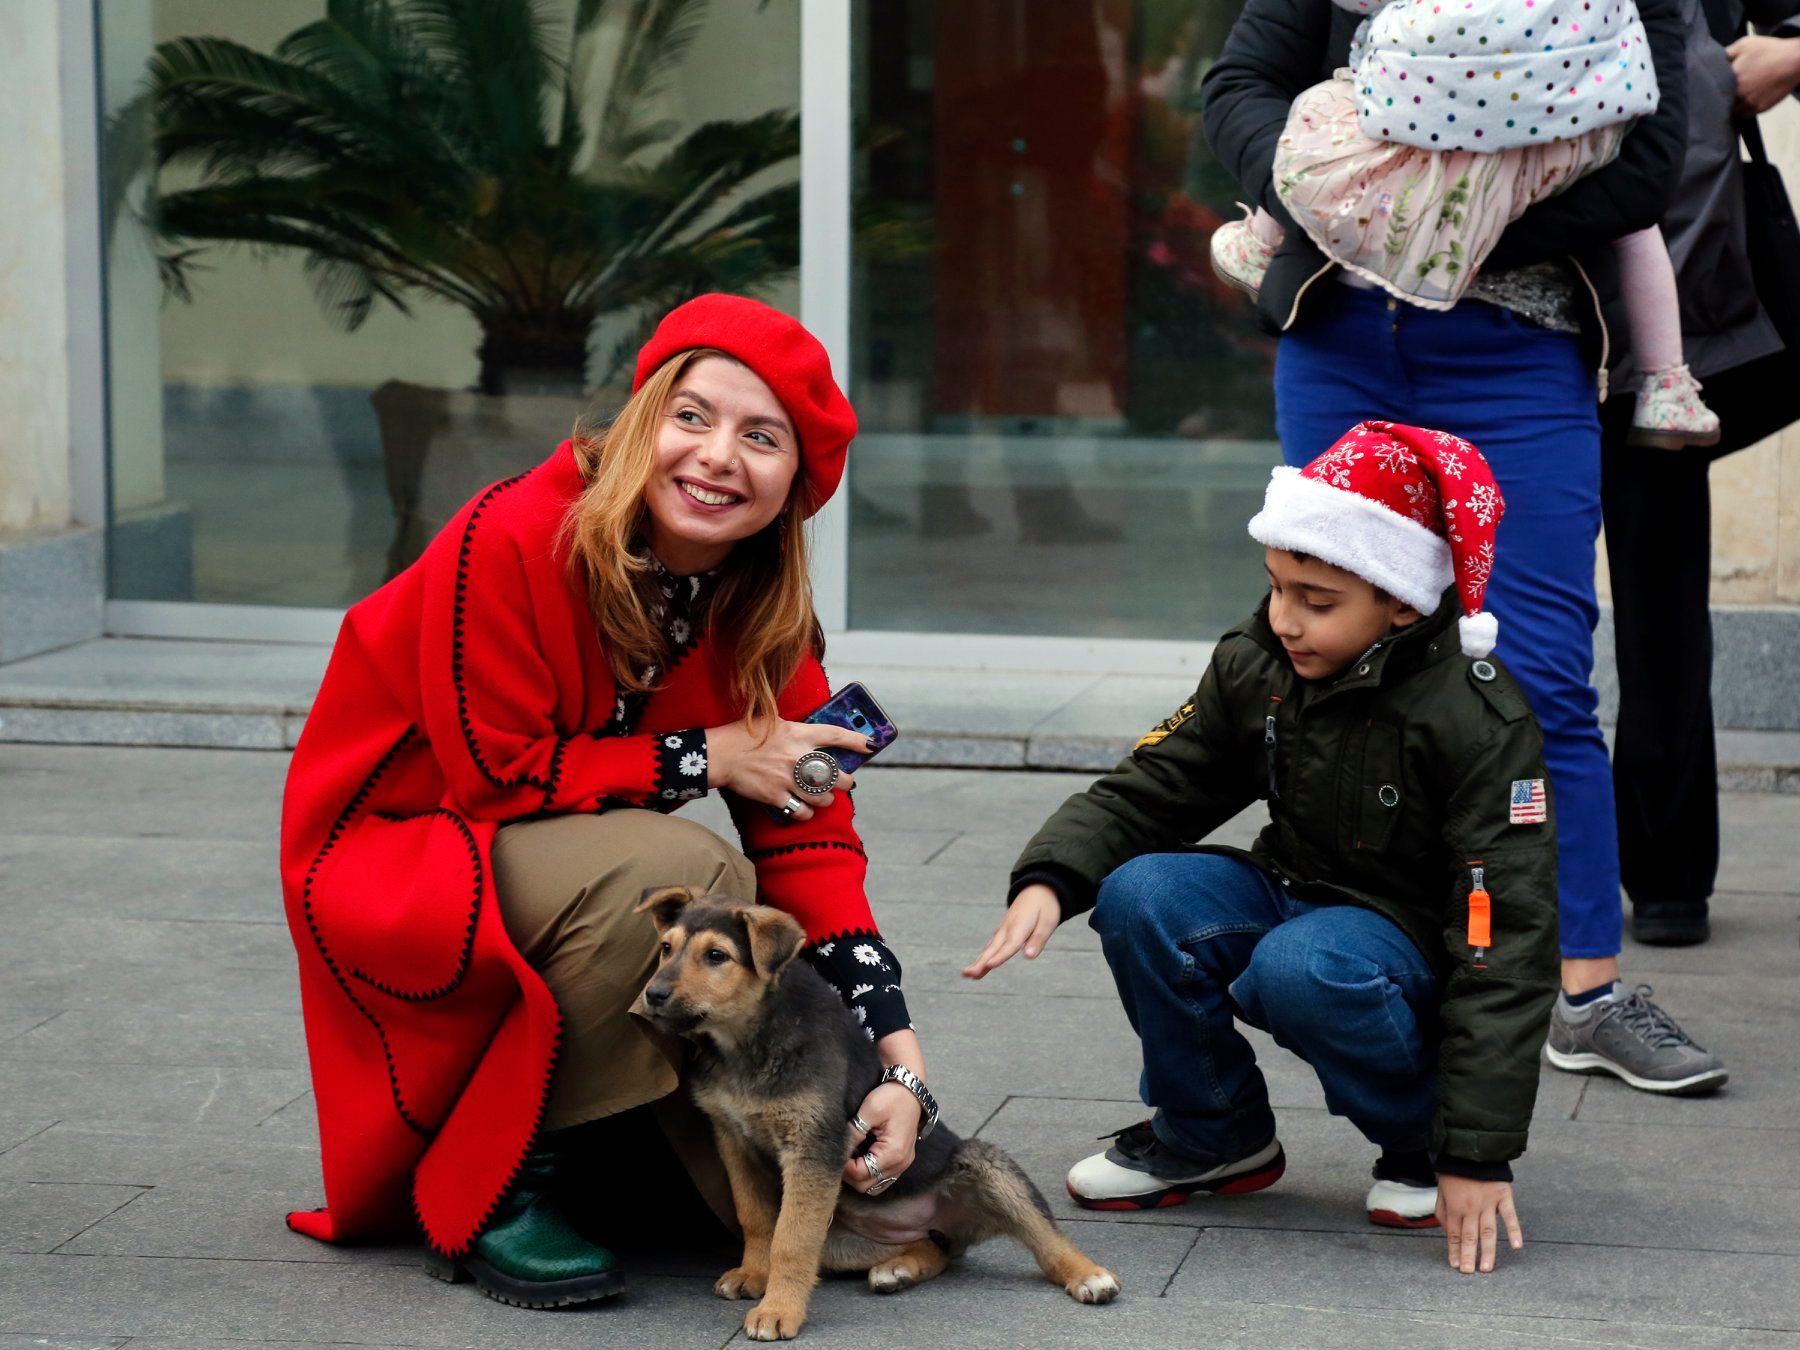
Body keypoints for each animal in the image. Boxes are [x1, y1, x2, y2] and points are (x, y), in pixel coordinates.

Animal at [630, 886, 1121, 1341]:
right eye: (666, 948)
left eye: (716, 956)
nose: (653, 995)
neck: (744, 1042)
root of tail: (939, 1224)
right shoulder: (733, 1138)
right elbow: (756, 1217)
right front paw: (754, 1274)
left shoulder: (814, 1145)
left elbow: (791, 1240)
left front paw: (777, 1312)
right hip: (846, 1240)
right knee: (936, 1250)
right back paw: (899, 1269)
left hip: (989, 1167)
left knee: (1046, 1239)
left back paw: (1090, 1276)